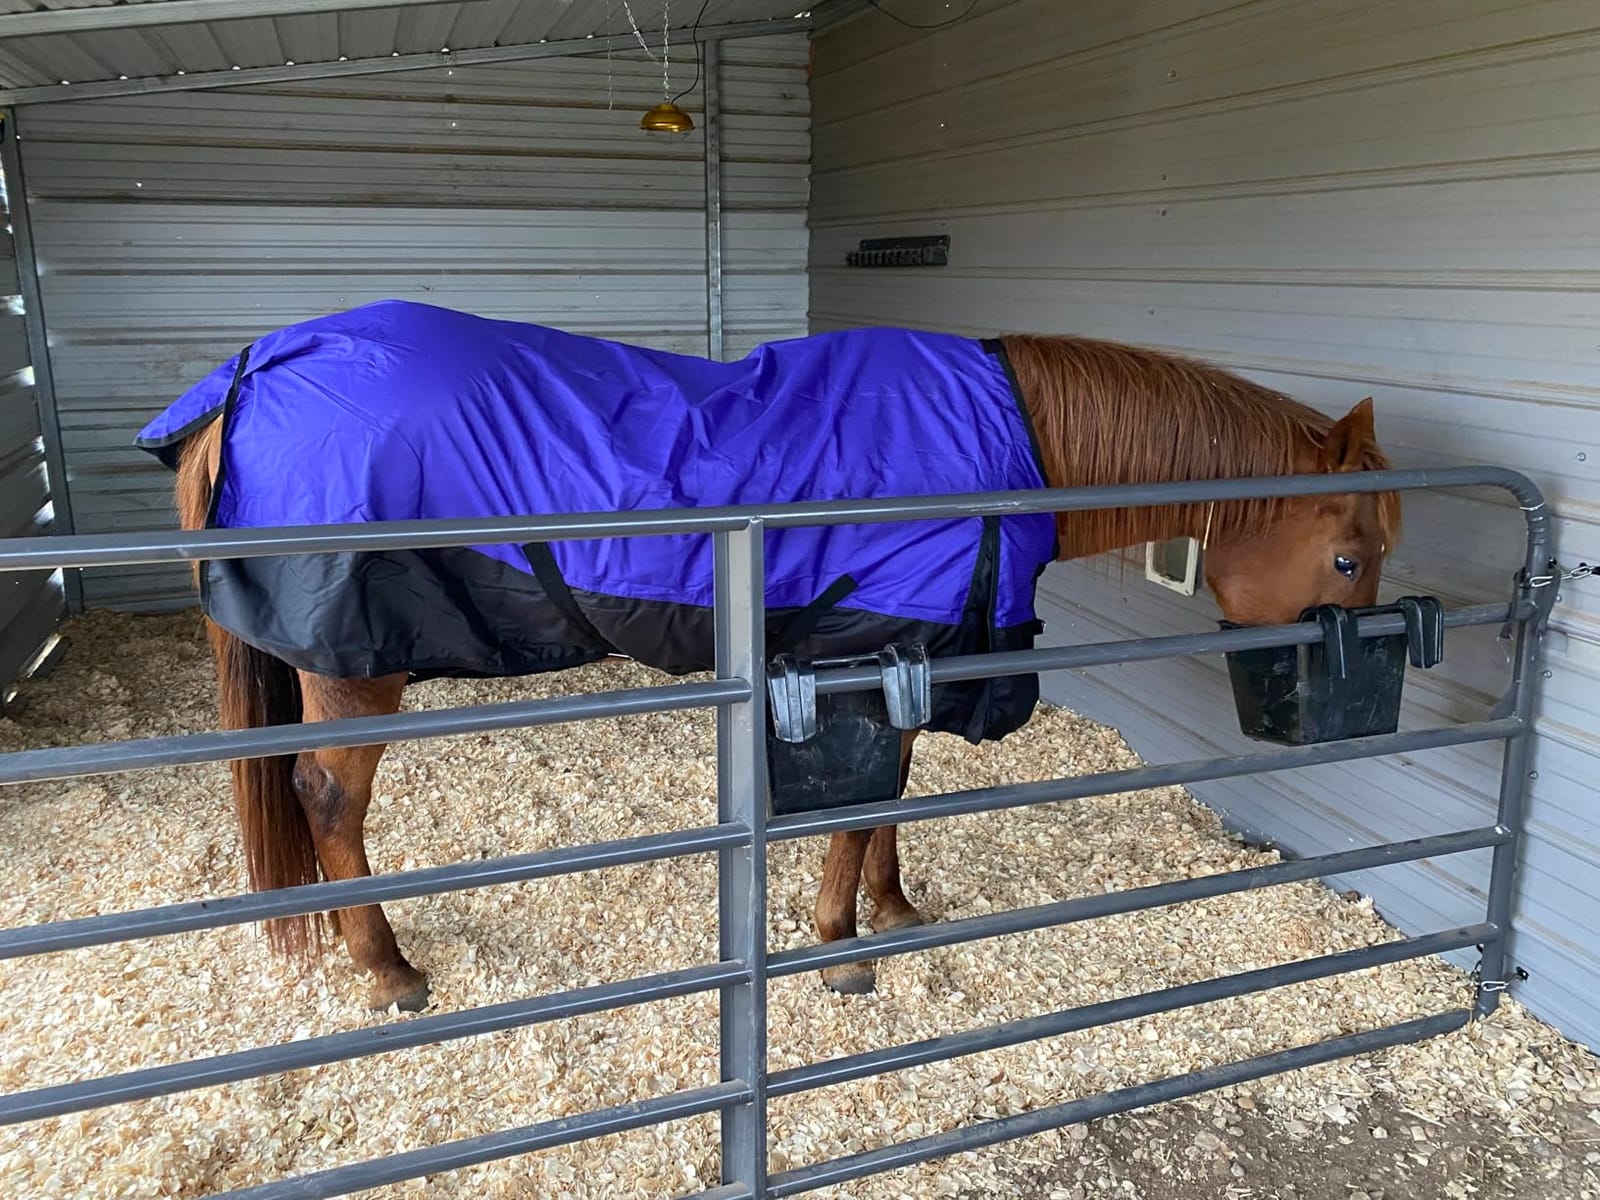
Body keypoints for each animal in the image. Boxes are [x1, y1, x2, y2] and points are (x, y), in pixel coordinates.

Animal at [151, 306, 1399, 1012]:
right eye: (1347, 556)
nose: (1324, 704)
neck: (1002, 439)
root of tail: (254, 375)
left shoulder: (907, 660)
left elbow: (890, 799)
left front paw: (892, 909)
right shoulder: (875, 657)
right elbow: (860, 806)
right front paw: (843, 950)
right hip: (355, 662)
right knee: (327, 799)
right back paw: (388, 969)